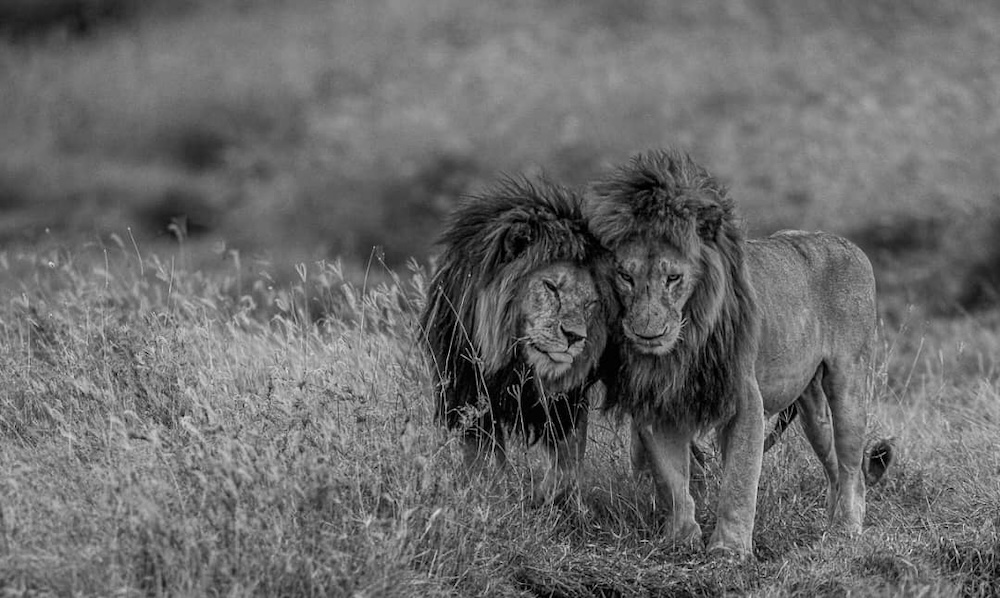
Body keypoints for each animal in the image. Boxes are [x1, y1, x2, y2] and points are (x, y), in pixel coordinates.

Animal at [420, 175, 617, 505]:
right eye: (551, 287)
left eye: (590, 303)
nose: (575, 337)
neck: (516, 362)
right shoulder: (468, 388)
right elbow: (483, 457)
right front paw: (491, 494)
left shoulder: (567, 402)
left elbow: (567, 461)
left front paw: (551, 498)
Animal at [586, 149, 893, 557]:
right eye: (625, 276)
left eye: (673, 278)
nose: (646, 332)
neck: (685, 344)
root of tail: (849, 245)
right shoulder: (660, 403)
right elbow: (671, 479)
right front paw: (681, 539)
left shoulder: (745, 398)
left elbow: (738, 480)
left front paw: (728, 552)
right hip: (810, 404)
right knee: (835, 463)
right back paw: (829, 527)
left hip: (849, 380)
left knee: (851, 463)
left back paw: (846, 529)